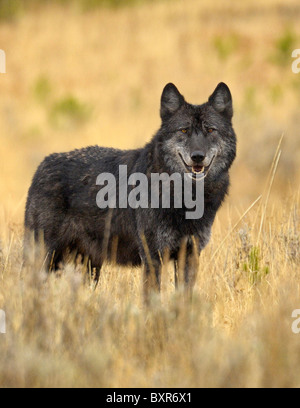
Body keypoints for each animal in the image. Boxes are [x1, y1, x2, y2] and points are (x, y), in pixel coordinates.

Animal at [24, 83, 237, 296]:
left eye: (210, 130)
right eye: (184, 130)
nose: (198, 156)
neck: (185, 198)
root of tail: (42, 164)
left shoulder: (190, 255)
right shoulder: (152, 255)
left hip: (89, 267)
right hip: (47, 258)